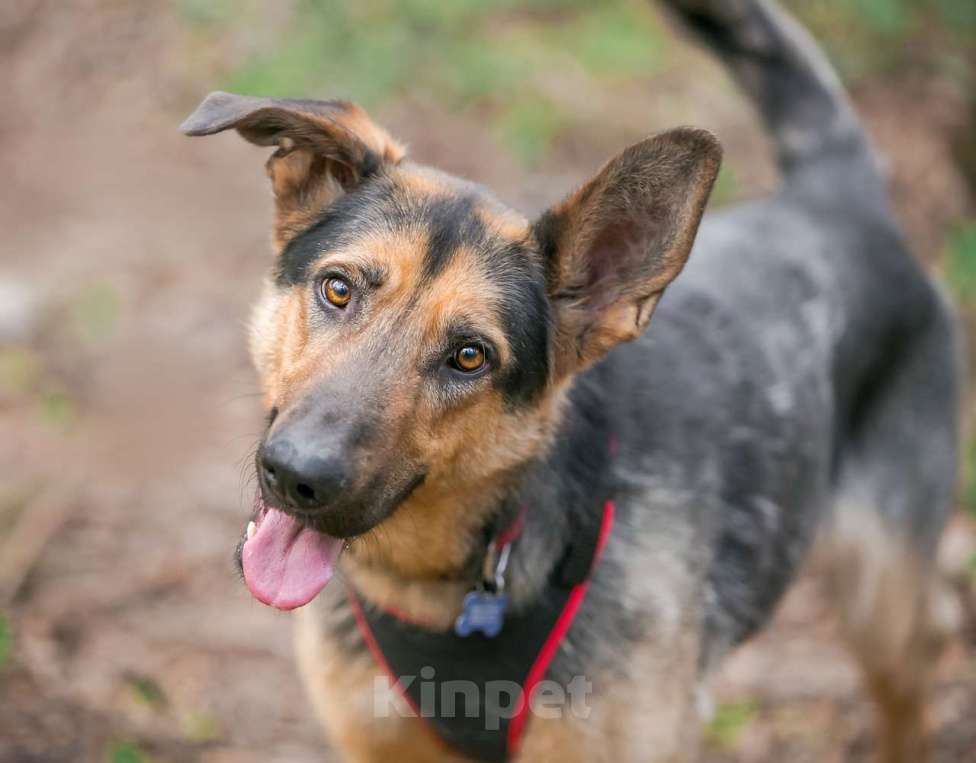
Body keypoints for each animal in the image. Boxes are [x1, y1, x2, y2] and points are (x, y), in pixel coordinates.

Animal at [183, 1, 960, 763]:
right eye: (338, 289)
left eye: (470, 357)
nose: (298, 476)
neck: (444, 585)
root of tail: (838, 194)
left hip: (882, 607)